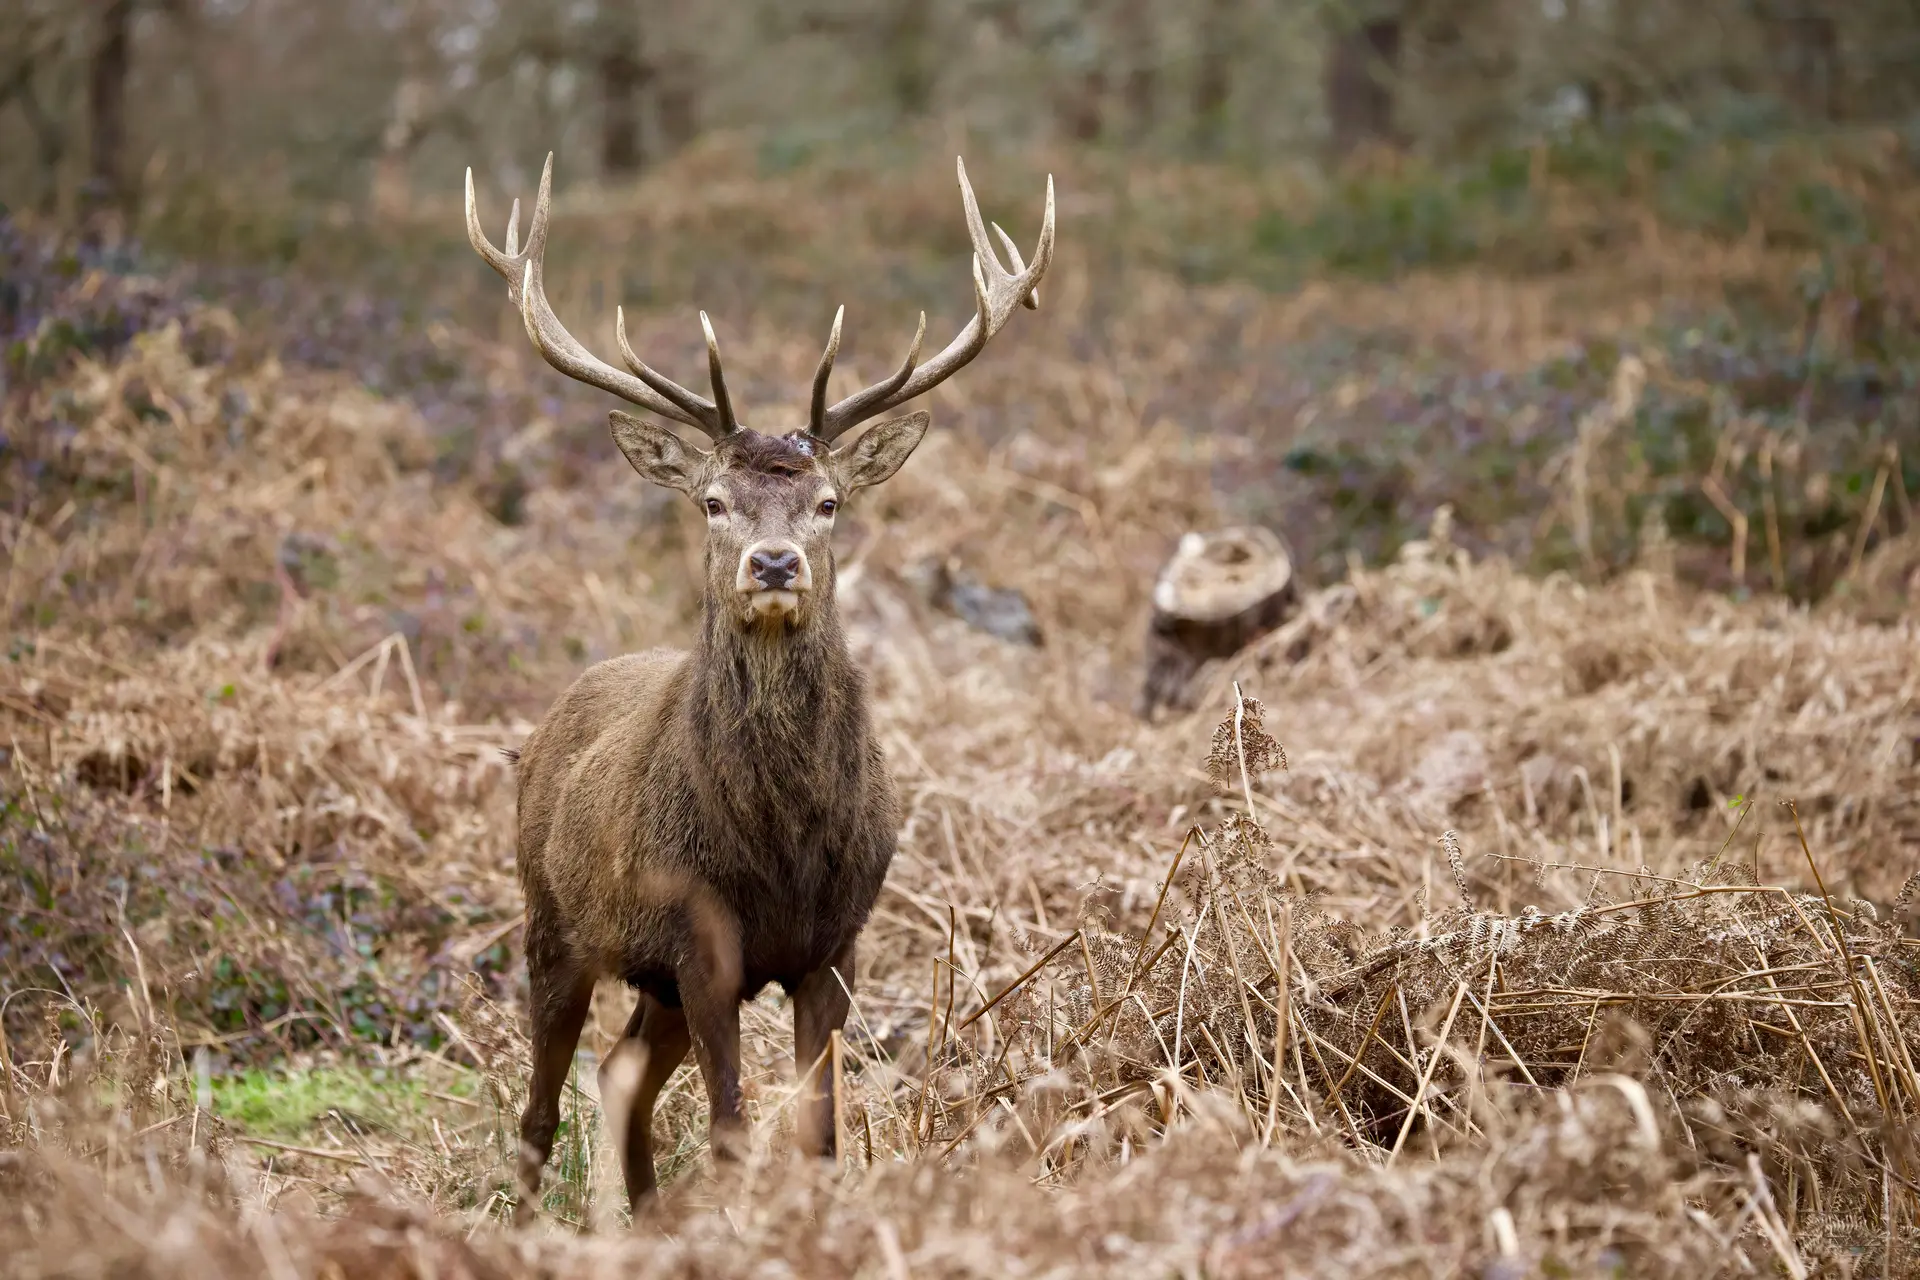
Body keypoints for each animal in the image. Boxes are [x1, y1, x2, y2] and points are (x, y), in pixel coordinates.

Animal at [463, 152, 1054, 1222]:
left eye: (828, 503)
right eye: (712, 501)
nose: (774, 564)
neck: (781, 846)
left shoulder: (836, 944)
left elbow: (821, 1132)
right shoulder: (704, 941)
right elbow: (735, 1130)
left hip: (647, 979)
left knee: (620, 1073)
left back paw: (648, 1222)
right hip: (550, 920)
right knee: (542, 1103)